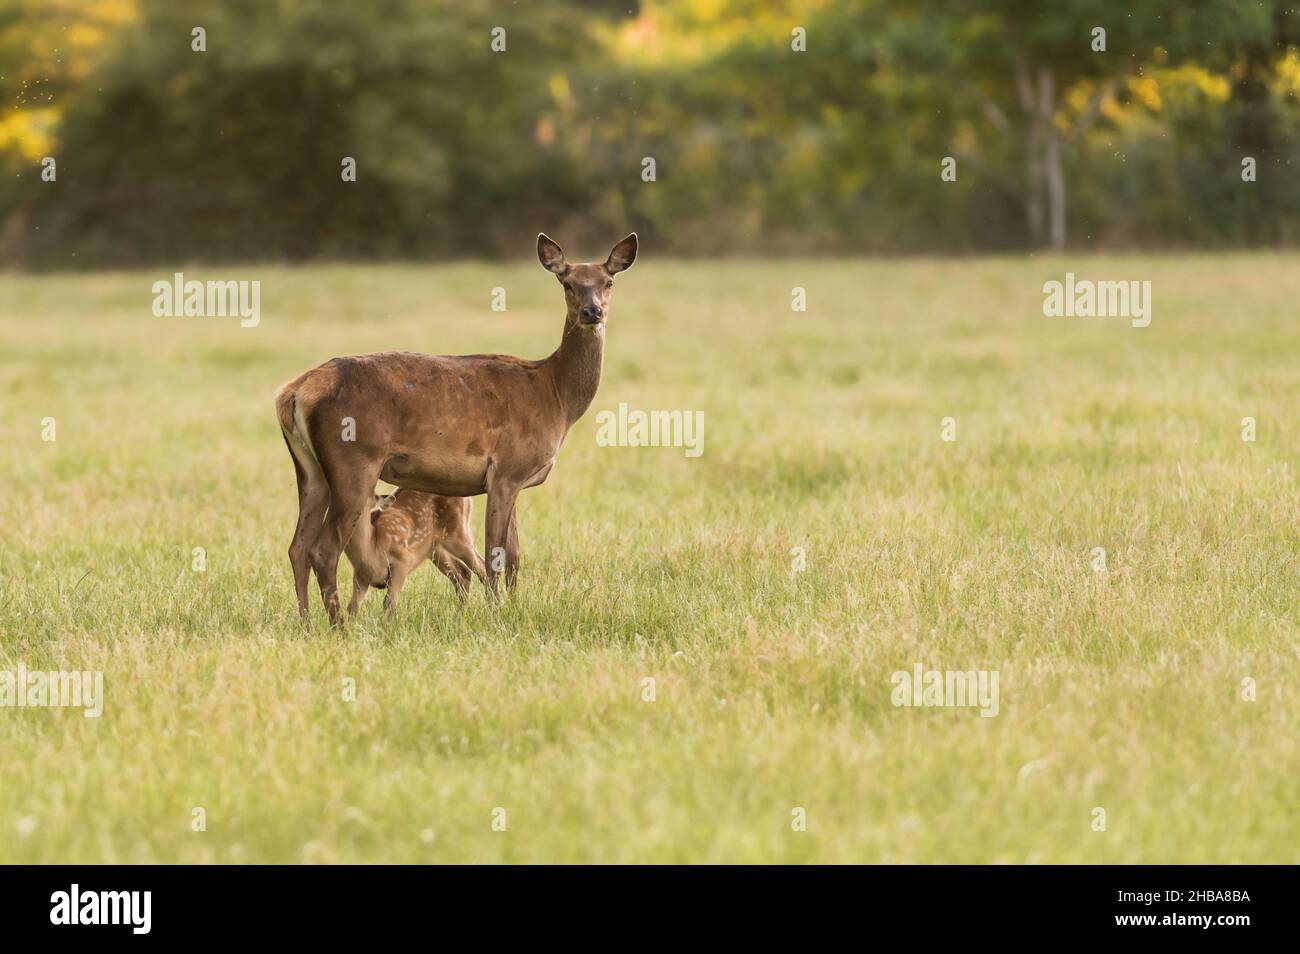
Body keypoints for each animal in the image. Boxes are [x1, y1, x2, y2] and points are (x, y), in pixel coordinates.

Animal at [345, 490, 486, 617]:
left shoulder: (402, 560)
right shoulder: (360, 575)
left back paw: (489, 608)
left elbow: (389, 602)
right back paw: (460, 614)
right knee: (463, 573)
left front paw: (386, 628)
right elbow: (352, 607)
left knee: (481, 566)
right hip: (435, 549)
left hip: (458, 533)